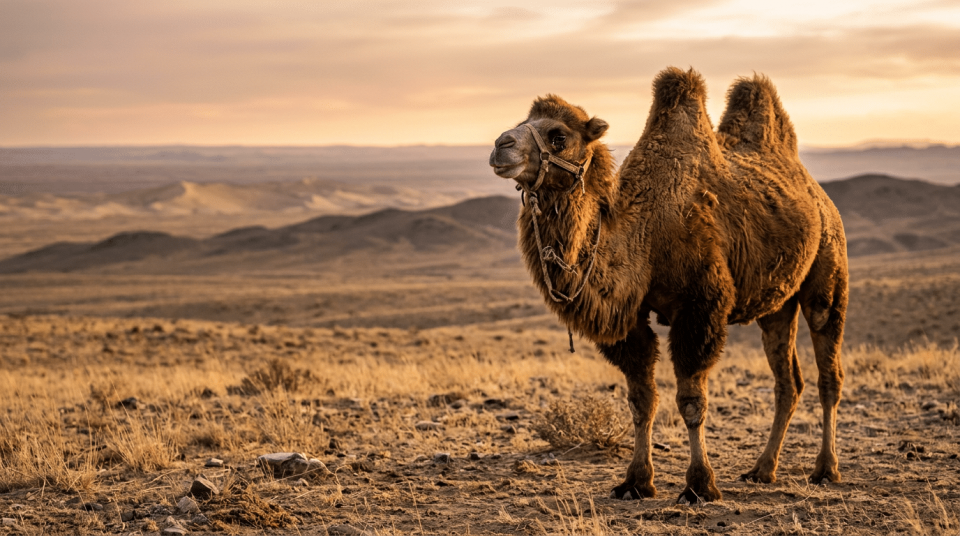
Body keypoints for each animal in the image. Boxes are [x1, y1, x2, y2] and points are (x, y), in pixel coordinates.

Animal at [489, 67, 847, 503]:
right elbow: (641, 401)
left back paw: (825, 470)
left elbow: (691, 401)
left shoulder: (700, 307)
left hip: (828, 269)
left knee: (828, 371)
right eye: (522, 122)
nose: (501, 145)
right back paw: (762, 469)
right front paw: (636, 481)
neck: (644, 231)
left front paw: (699, 484)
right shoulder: (630, 318)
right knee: (787, 381)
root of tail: (817, 193)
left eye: (559, 135)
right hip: (777, 304)